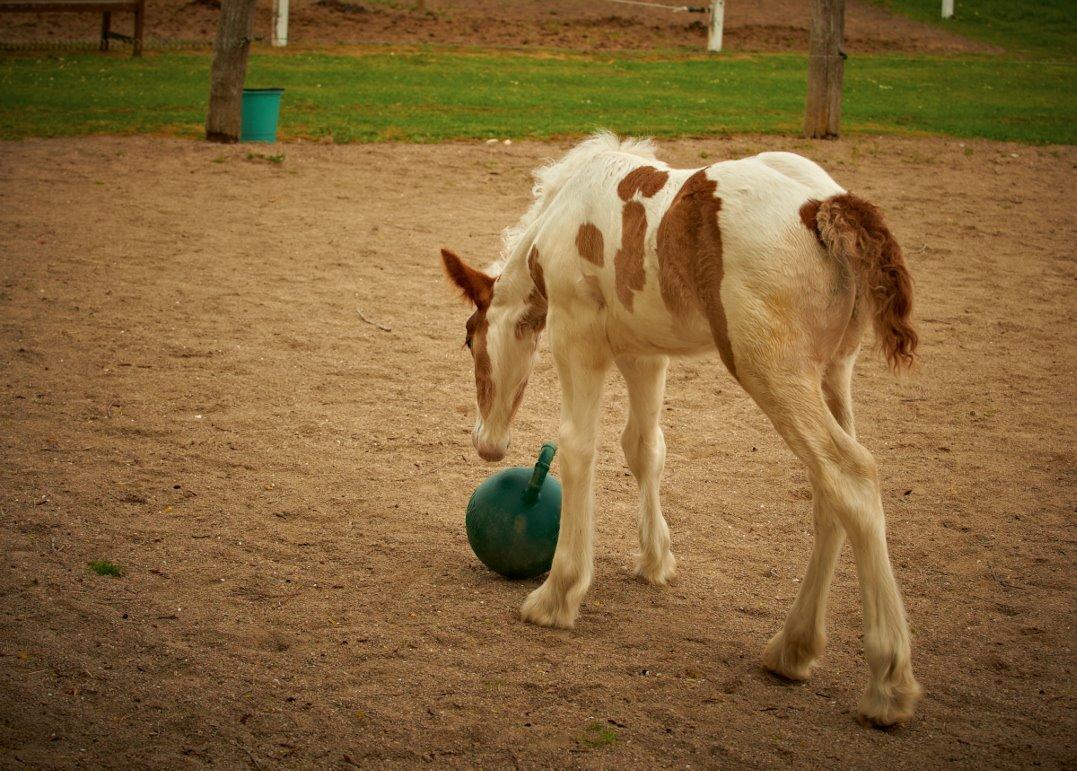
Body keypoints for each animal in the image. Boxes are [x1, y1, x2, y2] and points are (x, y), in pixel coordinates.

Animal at [441, 134, 921, 727]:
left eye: (470, 338)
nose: (486, 443)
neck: (563, 214)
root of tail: (823, 208)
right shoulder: (644, 352)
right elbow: (643, 447)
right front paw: (655, 561)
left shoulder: (578, 334)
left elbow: (579, 448)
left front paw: (558, 594)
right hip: (833, 372)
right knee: (829, 492)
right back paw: (794, 647)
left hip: (770, 370)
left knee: (850, 475)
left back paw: (888, 682)